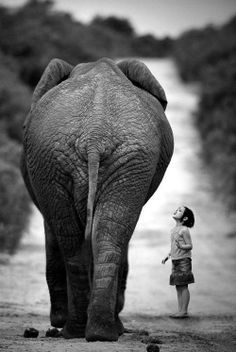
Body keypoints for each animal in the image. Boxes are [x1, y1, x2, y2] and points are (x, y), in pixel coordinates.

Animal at [20, 57, 173, 340]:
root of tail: (95, 136)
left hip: (116, 161)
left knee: (85, 236)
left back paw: (87, 330)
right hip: (61, 159)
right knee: (99, 234)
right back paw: (95, 331)